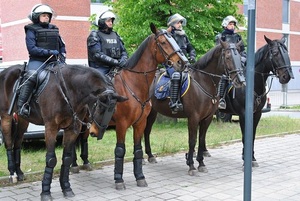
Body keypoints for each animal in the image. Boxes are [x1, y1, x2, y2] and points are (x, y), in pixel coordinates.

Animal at [0, 65, 127, 201]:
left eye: (113, 110)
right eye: (100, 107)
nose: (97, 132)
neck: (68, 92)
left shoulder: (72, 129)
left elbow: (67, 159)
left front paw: (66, 188)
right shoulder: (51, 128)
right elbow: (51, 160)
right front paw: (45, 192)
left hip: (23, 120)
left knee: (17, 143)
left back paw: (19, 173)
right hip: (6, 117)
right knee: (8, 143)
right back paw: (12, 174)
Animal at [88, 22, 189, 189]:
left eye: (174, 40)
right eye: (163, 42)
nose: (183, 62)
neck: (133, 85)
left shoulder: (140, 123)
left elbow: (138, 149)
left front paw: (140, 177)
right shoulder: (122, 124)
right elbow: (120, 150)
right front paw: (119, 180)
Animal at [144, 40, 246, 175]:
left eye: (239, 57)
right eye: (228, 57)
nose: (240, 81)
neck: (203, 82)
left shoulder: (207, 118)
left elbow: (201, 140)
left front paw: (201, 163)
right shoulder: (193, 117)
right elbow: (192, 141)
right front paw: (191, 165)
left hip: (153, 112)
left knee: (146, 131)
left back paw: (150, 156)